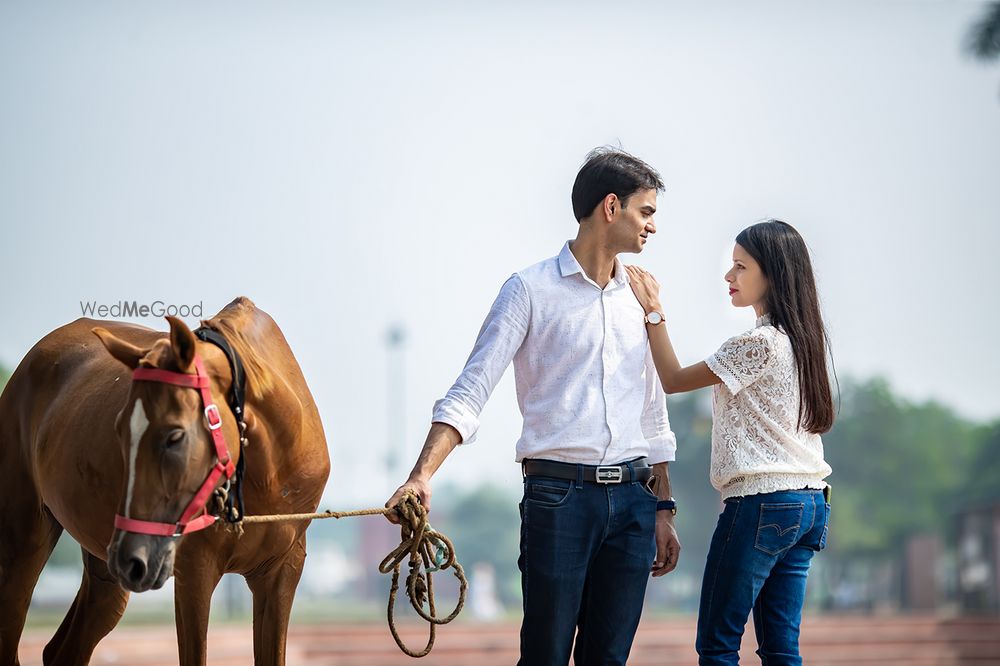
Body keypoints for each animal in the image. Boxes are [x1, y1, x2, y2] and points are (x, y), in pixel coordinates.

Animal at [0, 298, 334, 660]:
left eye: (175, 436)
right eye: (120, 431)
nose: (131, 554)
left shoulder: (281, 571)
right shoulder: (194, 570)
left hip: (107, 572)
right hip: (25, 544)